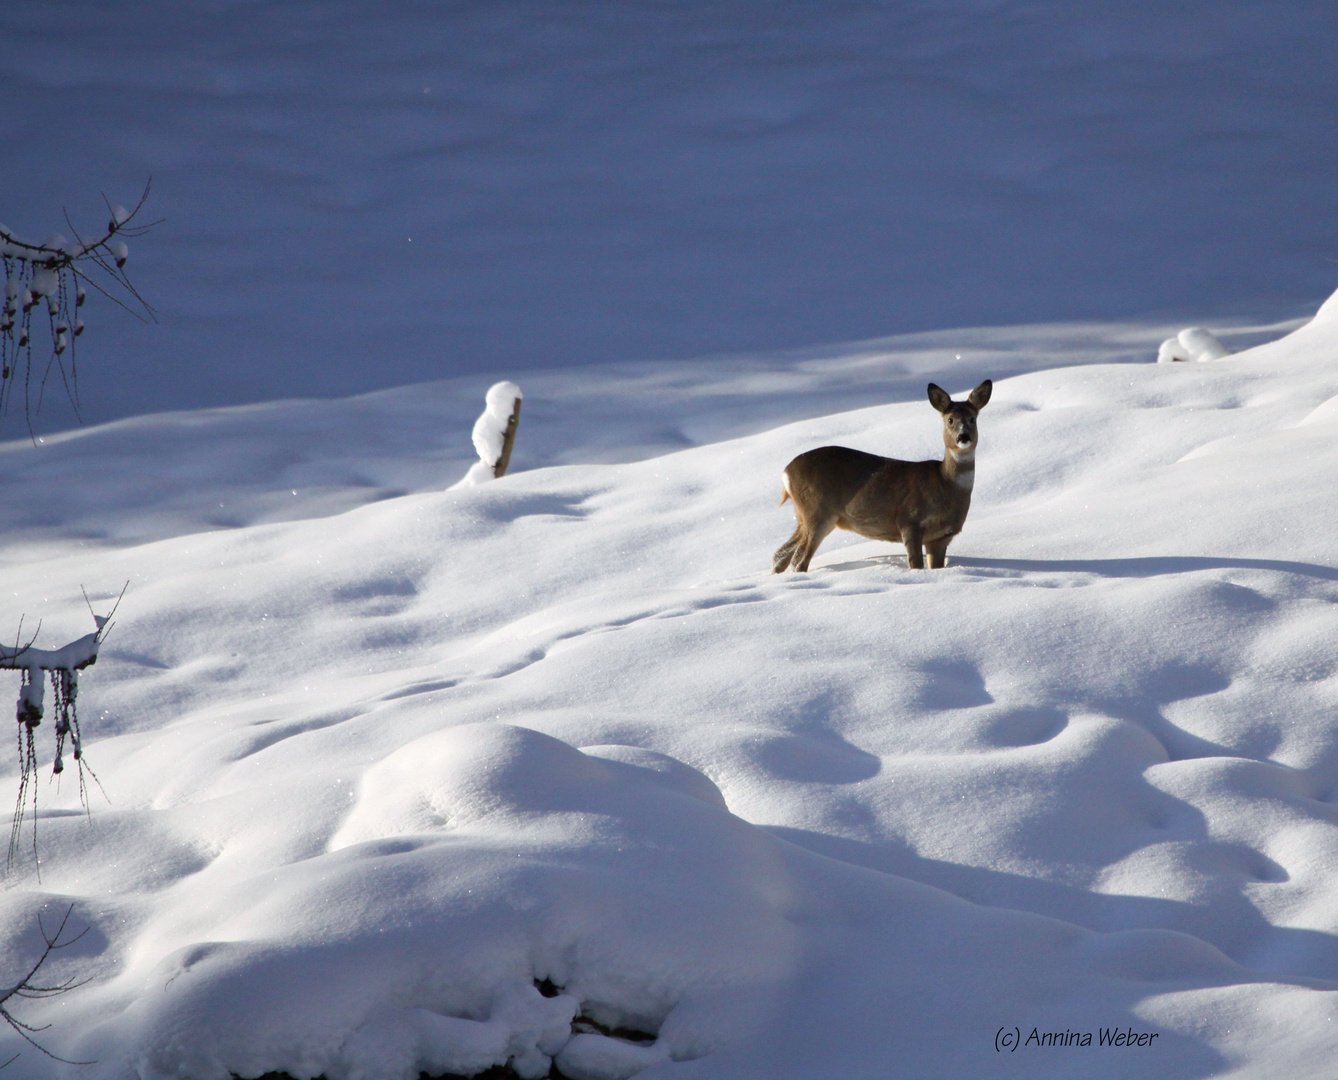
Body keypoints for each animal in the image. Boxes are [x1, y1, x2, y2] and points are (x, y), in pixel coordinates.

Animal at [776, 385, 995, 578]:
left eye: (972, 419)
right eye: (950, 419)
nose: (963, 437)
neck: (945, 484)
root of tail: (786, 472)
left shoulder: (942, 536)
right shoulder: (909, 520)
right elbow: (915, 563)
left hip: (806, 515)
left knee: (781, 554)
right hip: (818, 511)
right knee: (799, 560)